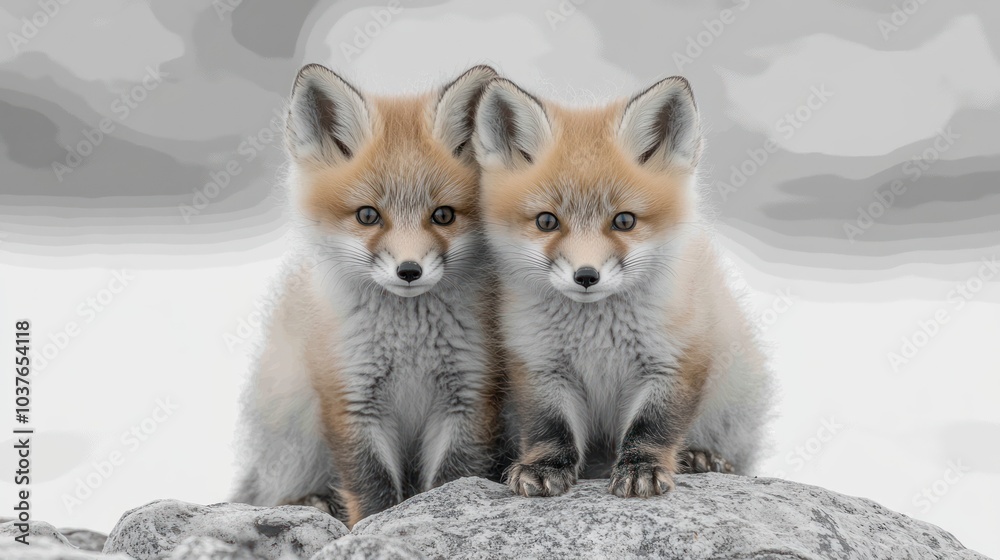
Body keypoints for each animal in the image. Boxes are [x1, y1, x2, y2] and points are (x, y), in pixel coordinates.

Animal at [231, 63, 505, 526]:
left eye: (443, 215)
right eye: (367, 216)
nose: (409, 271)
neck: (410, 345)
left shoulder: (468, 392)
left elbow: (450, 478)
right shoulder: (351, 395)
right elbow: (372, 484)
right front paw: (374, 523)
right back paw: (310, 500)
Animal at [472, 76, 774, 498]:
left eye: (624, 221)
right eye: (547, 222)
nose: (586, 276)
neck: (597, 337)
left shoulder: (674, 360)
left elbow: (651, 427)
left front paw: (641, 469)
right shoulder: (539, 364)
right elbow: (550, 427)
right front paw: (545, 466)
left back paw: (700, 456)